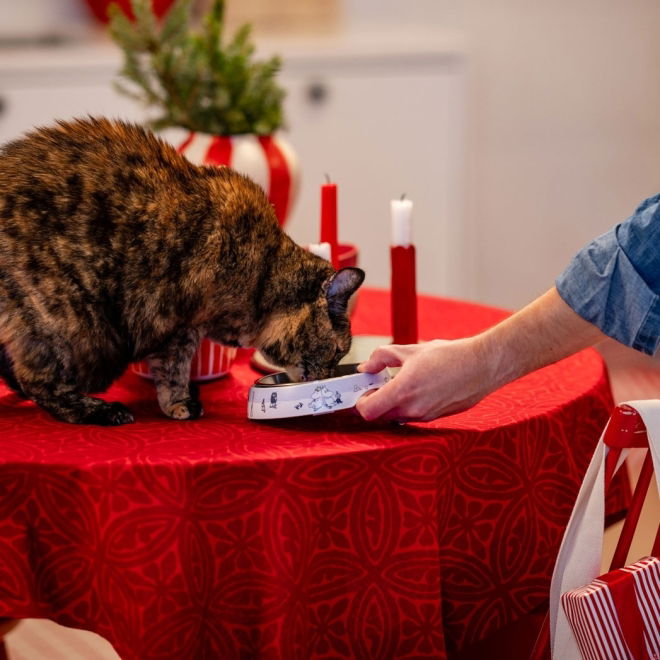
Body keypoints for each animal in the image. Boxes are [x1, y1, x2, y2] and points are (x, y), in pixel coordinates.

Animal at [0, 117, 364, 428]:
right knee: (39, 382)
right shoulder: (177, 325)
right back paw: (102, 411)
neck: (264, 273)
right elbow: (174, 369)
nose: (328, 375)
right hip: (75, 320)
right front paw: (179, 402)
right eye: (337, 351)